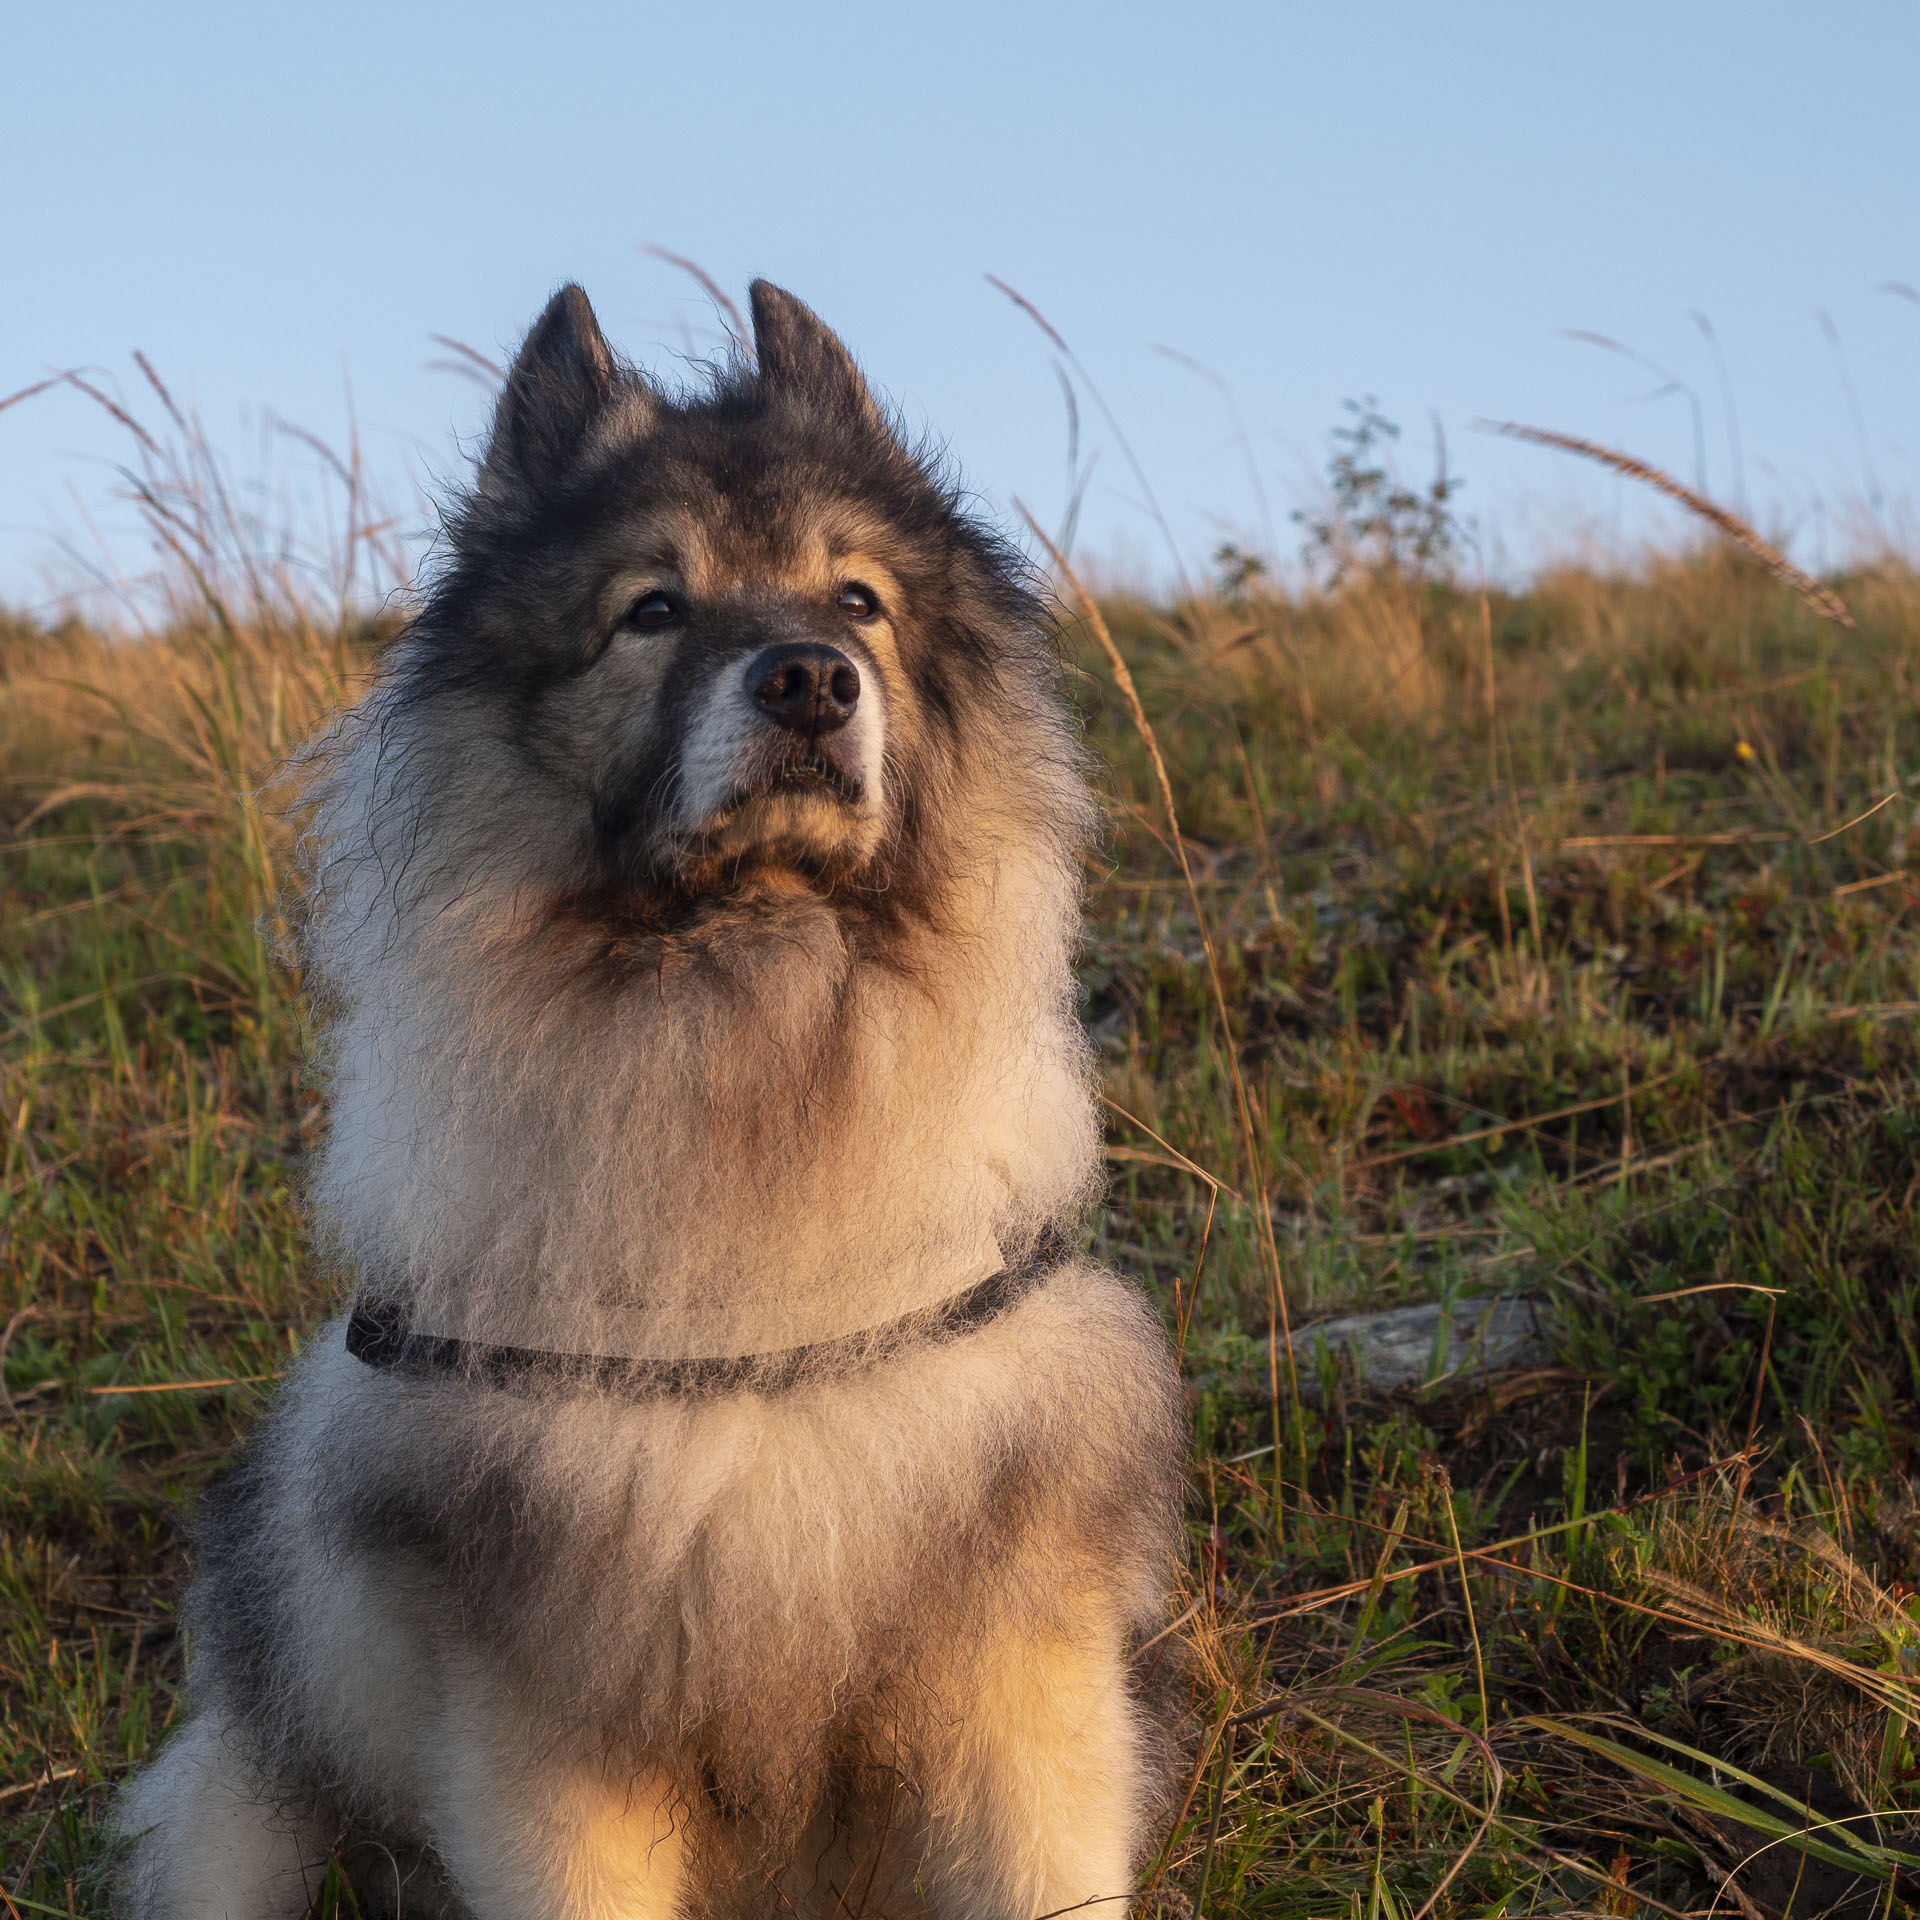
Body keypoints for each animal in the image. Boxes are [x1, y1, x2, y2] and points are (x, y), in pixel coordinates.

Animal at [116, 278, 1182, 1912]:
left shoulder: (1013, 1683)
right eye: (653, 610)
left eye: (858, 600)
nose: (809, 678)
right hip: (253, 1801)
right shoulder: (551, 1726)